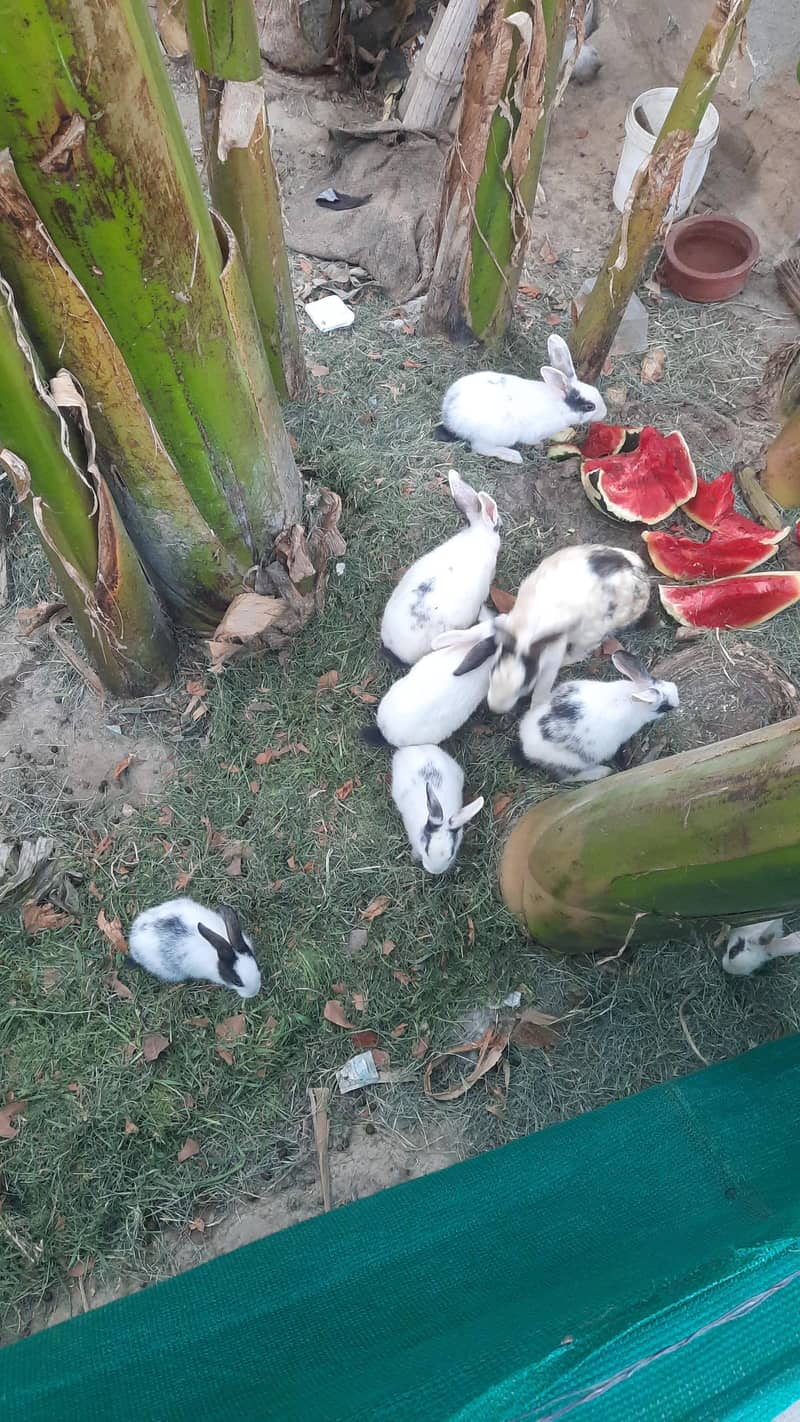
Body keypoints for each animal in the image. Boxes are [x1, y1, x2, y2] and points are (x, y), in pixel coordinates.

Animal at [435, 334, 607, 464]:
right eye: (590, 406)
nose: (604, 412)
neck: (561, 406)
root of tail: (449, 416)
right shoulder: (533, 432)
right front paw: (539, 444)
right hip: (498, 435)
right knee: (480, 447)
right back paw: (512, 456)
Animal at [436, 544, 652, 714]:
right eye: (492, 670)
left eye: (525, 685)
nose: (496, 708)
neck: (526, 635)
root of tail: (642, 577)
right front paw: (441, 641)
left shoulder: (551, 660)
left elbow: (542, 689)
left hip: (590, 634)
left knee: (582, 652)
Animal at [516, 650, 679, 782]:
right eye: (665, 707)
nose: (677, 701)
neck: (634, 699)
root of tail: (526, 745)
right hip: (573, 761)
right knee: (565, 778)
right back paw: (603, 771)